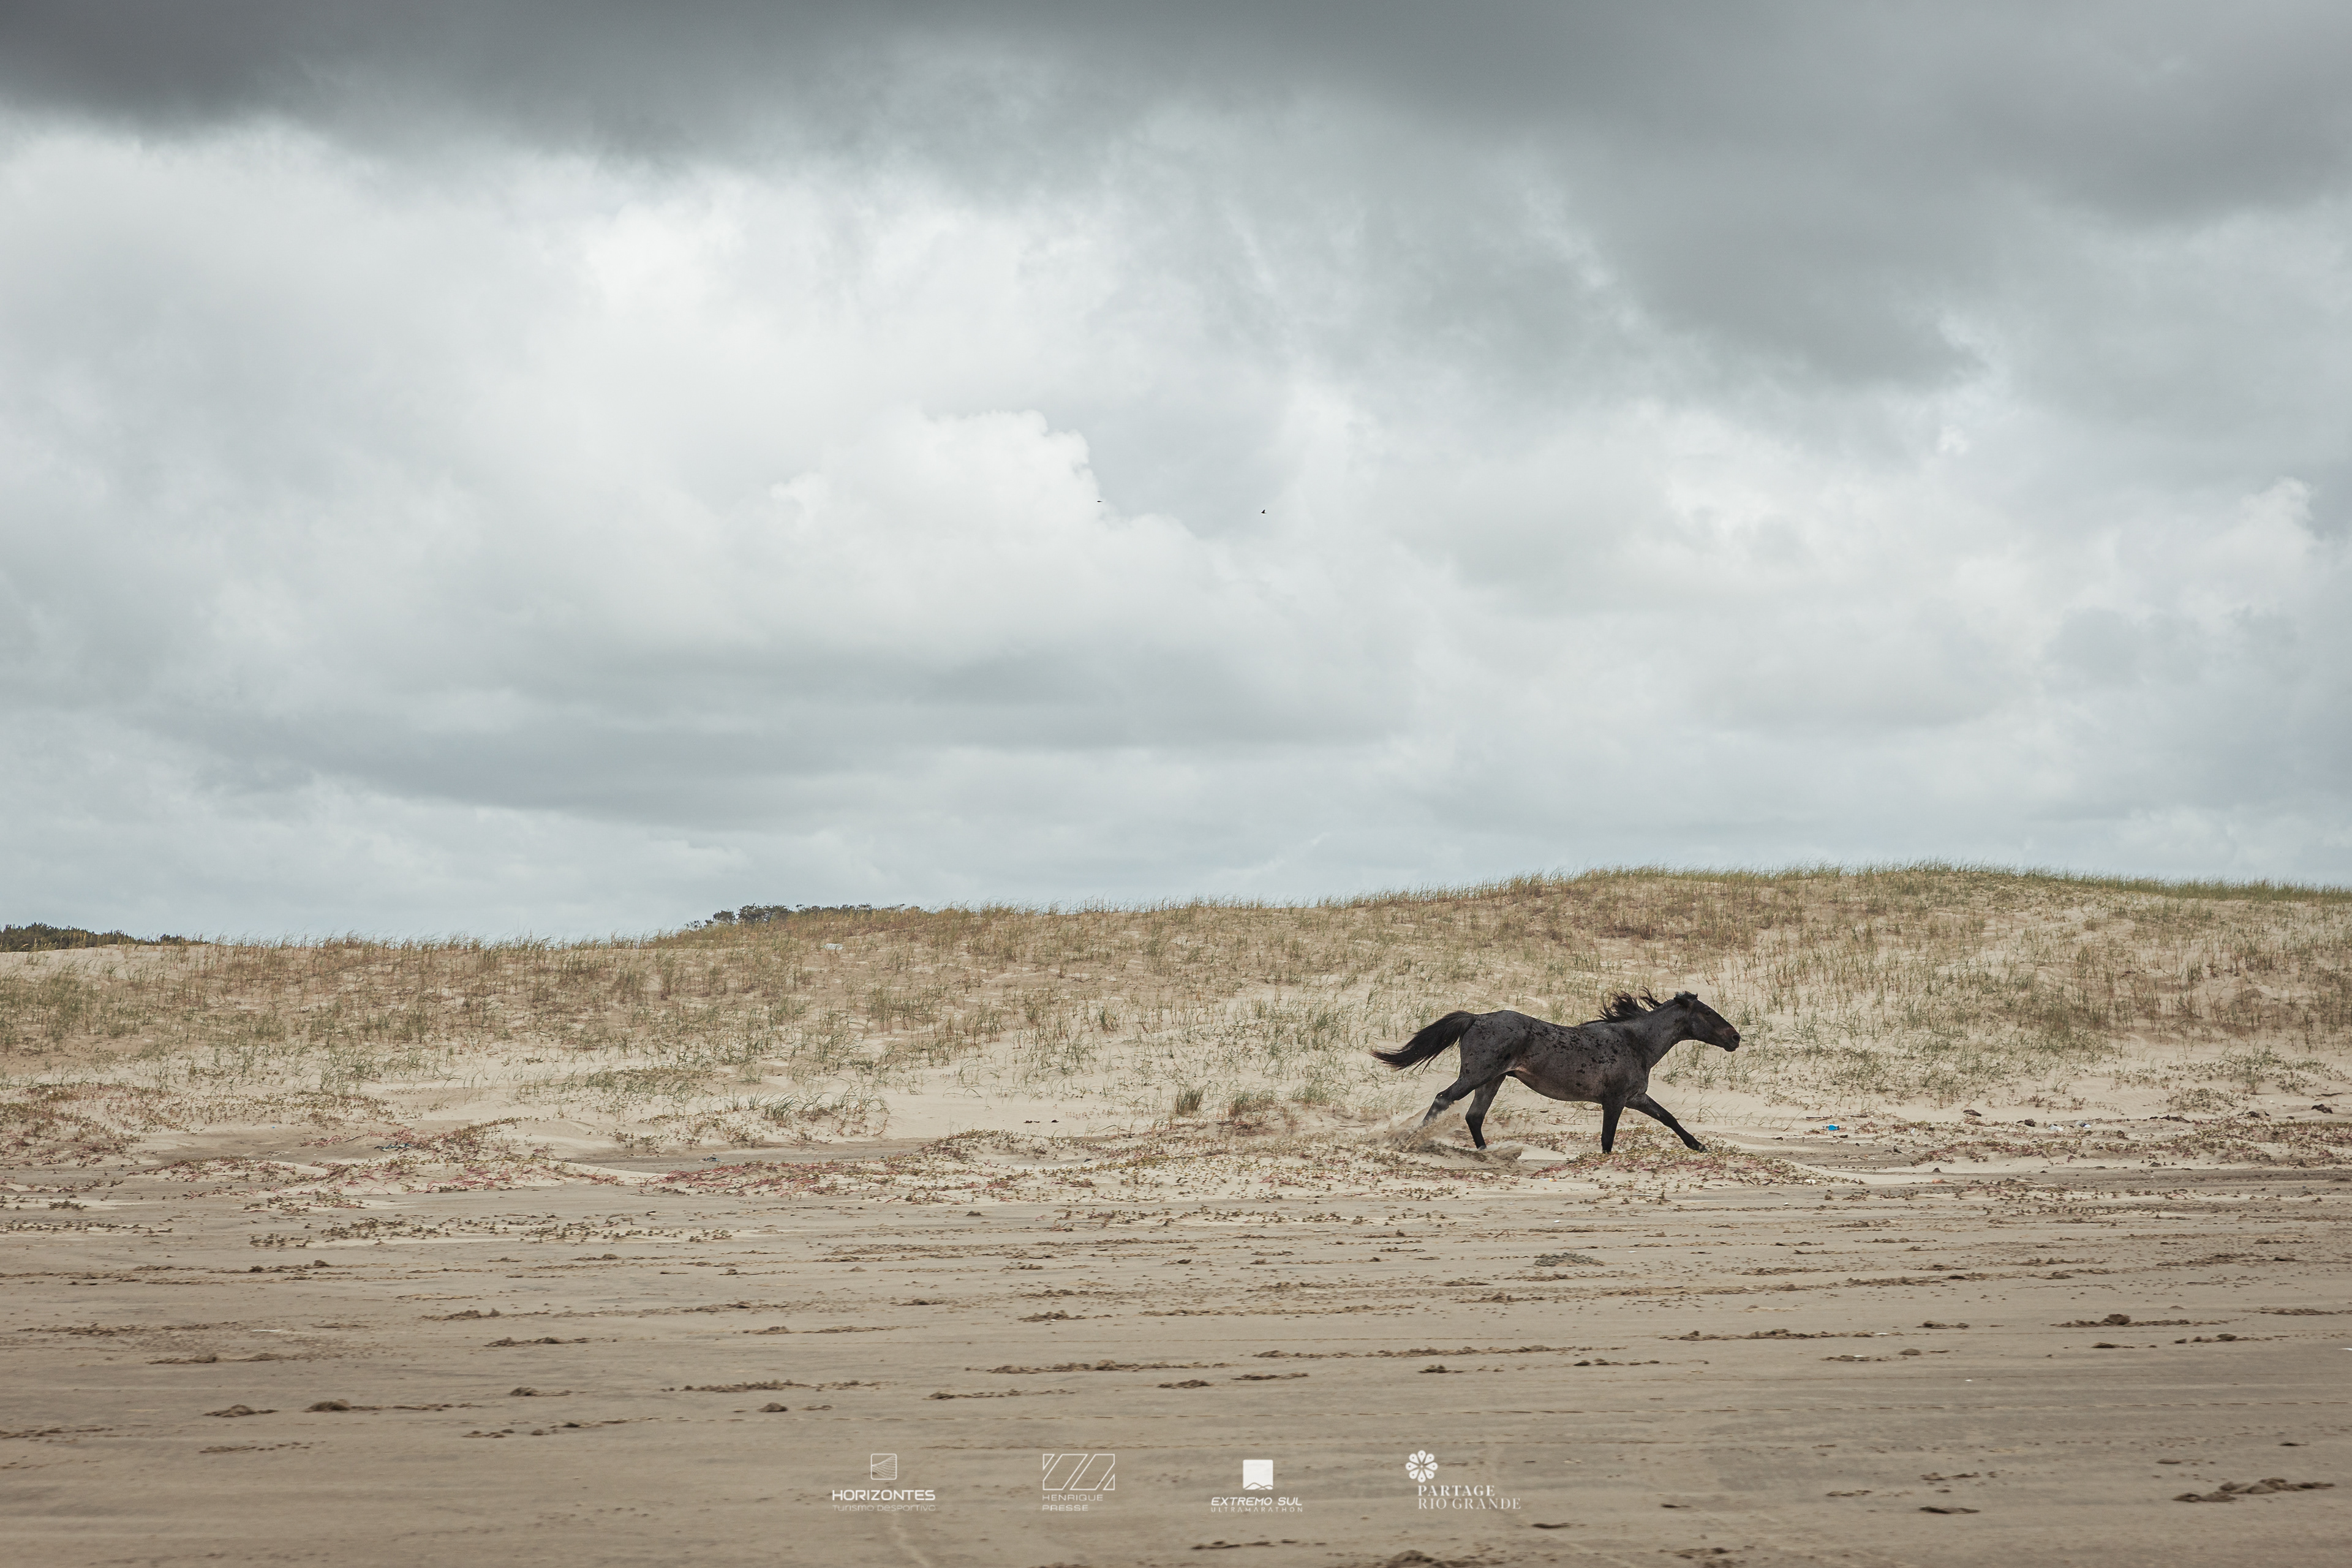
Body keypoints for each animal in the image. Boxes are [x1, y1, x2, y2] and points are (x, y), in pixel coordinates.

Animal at [1372, 991, 1740, 1154]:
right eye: (1708, 1013)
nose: (1736, 1038)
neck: (1636, 1041)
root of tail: (1476, 1018)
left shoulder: (1635, 1097)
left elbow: (1669, 1118)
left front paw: (1698, 1146)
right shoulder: (1615, 1100)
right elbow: (1607, 1139)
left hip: (1493, 1080)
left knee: (1474, 1116)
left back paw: (1487, 1154)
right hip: (1476, 1076)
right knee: (1443, 1099)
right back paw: (1412, 1140)